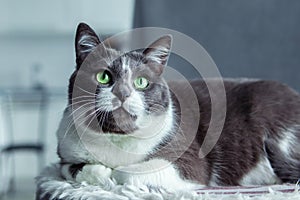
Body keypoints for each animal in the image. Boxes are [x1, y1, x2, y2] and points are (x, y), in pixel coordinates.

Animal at [56, 22, 300, 191]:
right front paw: (99, 172)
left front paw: (114, 175)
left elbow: (125, 174)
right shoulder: (65, 151)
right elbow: (70, 168)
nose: (122, 93)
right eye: (103, 77)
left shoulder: (188, 158)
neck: (116, 140)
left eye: (141, 82)